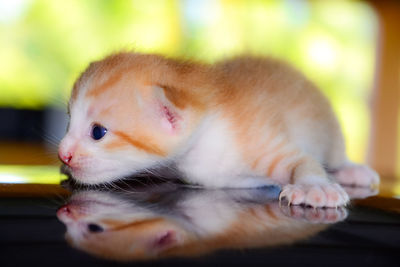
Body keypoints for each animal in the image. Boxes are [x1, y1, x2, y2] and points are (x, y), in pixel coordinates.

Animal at [57, 51, 380, 207]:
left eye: (98, 132)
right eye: (68, 121)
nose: (63, 154)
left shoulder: (258, 138)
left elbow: (304, 162)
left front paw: (315, 187)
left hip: (330, 133)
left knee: (335, 157)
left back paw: (353, 171)